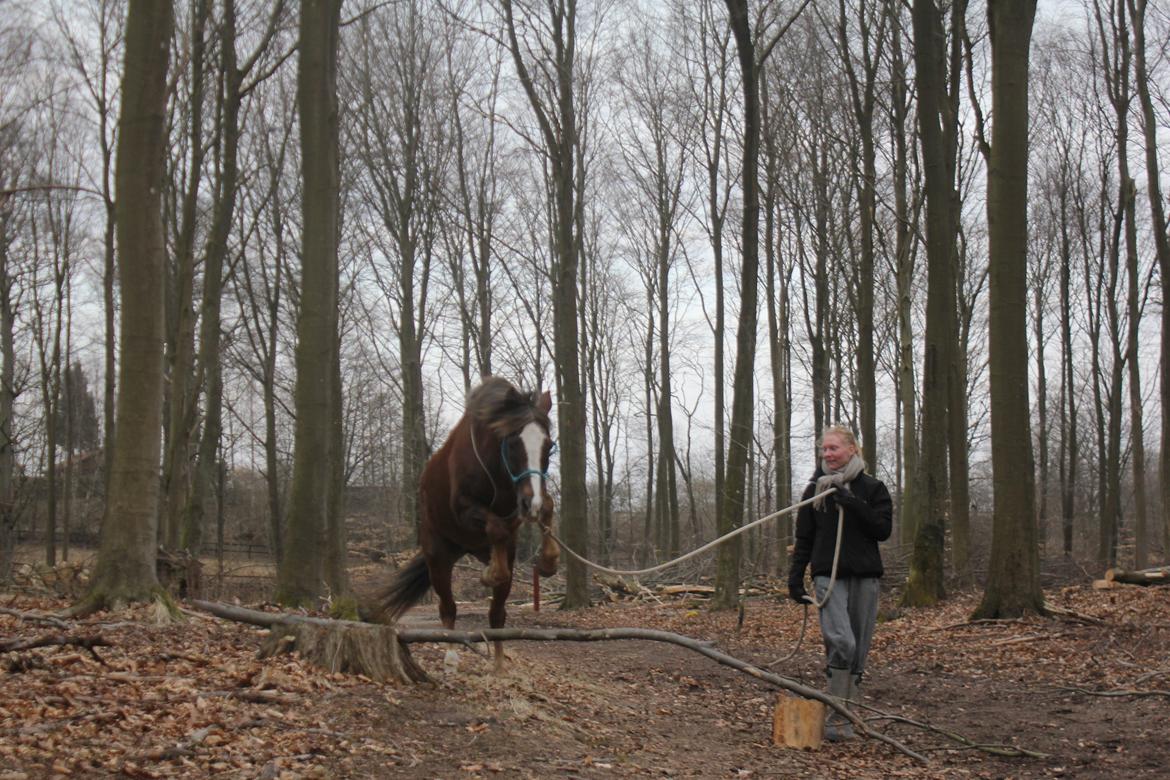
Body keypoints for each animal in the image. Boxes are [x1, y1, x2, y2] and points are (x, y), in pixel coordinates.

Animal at [374, 378, 556, 673]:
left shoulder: (518, 510)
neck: (495, 469)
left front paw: (549, 561)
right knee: (447, 609)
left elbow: (545, 508)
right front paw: (491, 573)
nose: (532, 504)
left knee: (496, 613)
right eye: (512, 443)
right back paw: (450, 656)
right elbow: (497, 529)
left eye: (548, 446)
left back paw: (498, 661)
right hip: (438, 557)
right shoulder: (464, 508)